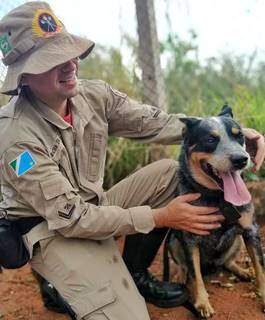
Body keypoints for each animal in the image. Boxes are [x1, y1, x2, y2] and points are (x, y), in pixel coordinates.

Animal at [163, 105, 264, 318]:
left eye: (239, 136)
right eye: (210, 139)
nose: (241, 159)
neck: (218, 198)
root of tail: (212, 265)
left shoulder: (251, 230)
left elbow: (260, 267)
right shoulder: (189, 238)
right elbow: (196, 275)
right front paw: (202, 303)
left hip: (237, 241)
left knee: (227, 261)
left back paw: (242, 271)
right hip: (174, 240)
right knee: (184, 266)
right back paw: (179, 276)